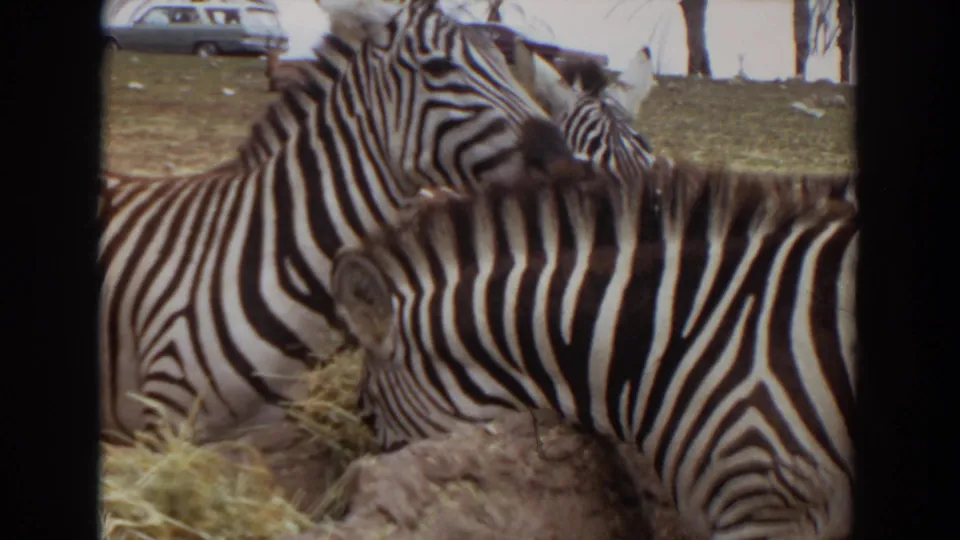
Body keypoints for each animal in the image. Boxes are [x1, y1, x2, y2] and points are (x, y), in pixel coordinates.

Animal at [98, 0, 562, 446]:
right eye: (437, 68)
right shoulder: (163, 423)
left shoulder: (258, 433)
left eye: (505, 62)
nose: (561, 156)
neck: (272, 253)